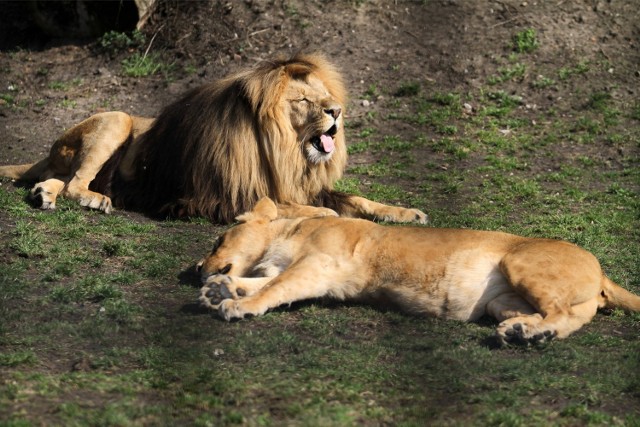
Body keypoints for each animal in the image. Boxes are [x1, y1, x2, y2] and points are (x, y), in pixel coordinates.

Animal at [0, 53, 424, 224]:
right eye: (305, 100)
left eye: (325, 95)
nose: (337, 111)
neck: (283, 152)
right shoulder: (224, 198)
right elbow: (299, 209)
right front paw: (323, 215)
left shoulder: (305, 185)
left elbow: (357, 199)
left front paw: (407, 212)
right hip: (117, 118)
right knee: (76, 183)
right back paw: (92, 199)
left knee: (63, 178)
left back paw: (44, 193)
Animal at [198, 199, 636, 346]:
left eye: (218, 239)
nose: (199, 268)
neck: (289, 231)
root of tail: (600, 268)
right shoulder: (304, 268)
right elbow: (259, 280)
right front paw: (219, 289)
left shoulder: (319, 266)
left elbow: (273, 287)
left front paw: (236, 305)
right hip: (500, 302)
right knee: (570, 317)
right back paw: (525, 331)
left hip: (519, 264)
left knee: (561, 312)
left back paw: (530, 334)